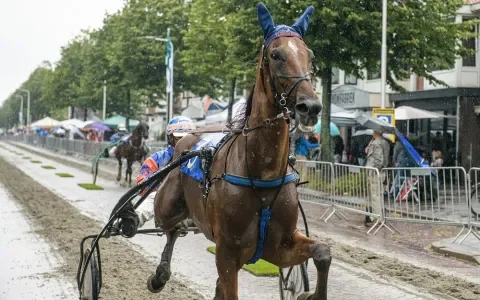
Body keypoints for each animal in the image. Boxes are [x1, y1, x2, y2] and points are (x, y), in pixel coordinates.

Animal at [148, 2, 332, 300]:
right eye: (276, 54)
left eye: (310, 56)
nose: (311, 107)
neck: (261, 172)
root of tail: (186, 140)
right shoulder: (227, 252)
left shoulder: (279, 246)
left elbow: (322, 251)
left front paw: (310, 293)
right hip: (167, 205)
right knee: (170, 227)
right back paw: (159, 274)